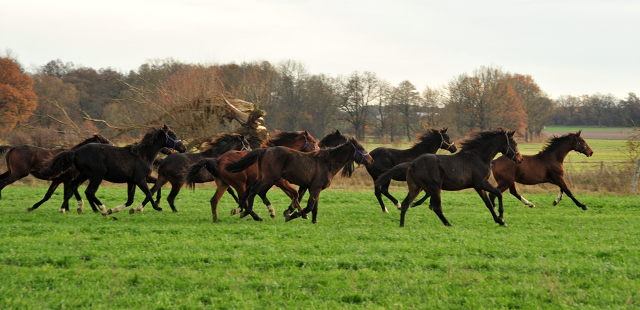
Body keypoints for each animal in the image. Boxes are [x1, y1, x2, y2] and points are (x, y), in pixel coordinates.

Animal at [42, 124, 185, 216]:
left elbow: (131, 200)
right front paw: (156, 207)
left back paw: (70, 208)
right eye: (173, 135)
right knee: (89, 192)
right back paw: (103, 209)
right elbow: (149, 193)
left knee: (73, 186)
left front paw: (117, 210)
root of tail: (76, 152)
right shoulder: (140, 180)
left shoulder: (132, 181)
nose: (183, 148)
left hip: (84, 174)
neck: (143, 155)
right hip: (97, 176)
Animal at [184, 130, 318, 222]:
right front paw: (295, 213)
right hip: (240, 184)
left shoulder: (269, 182)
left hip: (224, 184)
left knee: (214, 200)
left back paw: (216, 219)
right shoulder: (281, 182)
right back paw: (253, 216)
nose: (318, 151)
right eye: (314, 141)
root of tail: (217, 161)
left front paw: (294, 213)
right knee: (244, 201)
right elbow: (294, 194)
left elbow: (287, 195)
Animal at [228, 137, 372, 223]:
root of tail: (265, 150)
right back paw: (246, 212)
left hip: (263, 178)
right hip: (269, 179)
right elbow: (309, 206)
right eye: (360, 148)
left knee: (249, 189)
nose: (371, 160)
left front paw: (313, 221)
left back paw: (239, 209)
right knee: (253, 190)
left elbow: (313, 206)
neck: (326, 162)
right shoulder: (315, 187)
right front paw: (291, 215)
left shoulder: (313, 188)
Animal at [376, 128, 524, 228]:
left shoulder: (478, 186)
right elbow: (498, 193)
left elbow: (488, 203)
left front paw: (499, 220)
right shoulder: (481, 183)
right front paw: (502, 218)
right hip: (434, 188)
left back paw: (402, 225)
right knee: (437, 208)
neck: (479, 157)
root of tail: (411, 164)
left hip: (415, 188)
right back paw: (448, 224)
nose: (520, 159)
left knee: (405, 204)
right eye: (515, 143)